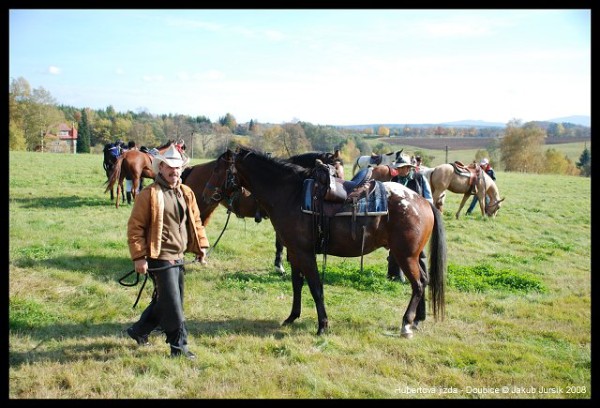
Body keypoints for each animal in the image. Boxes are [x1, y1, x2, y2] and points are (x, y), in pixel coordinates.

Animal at [204, 147, 448, 338]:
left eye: (217, 169)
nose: (206, 194)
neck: (289, 193)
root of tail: (423, 201)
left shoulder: (305, 253)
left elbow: (315, 287)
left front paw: (322, 325)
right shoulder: (294, 252)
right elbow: (297, 284)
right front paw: (292, 317)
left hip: (404, 255)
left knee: (418, 284)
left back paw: (406, 323)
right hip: (411, 255)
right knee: (423, 280)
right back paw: (416, 320)